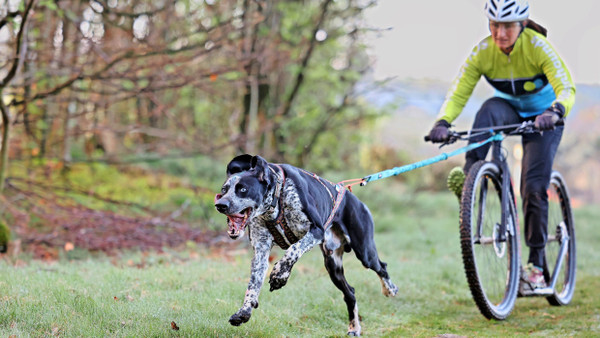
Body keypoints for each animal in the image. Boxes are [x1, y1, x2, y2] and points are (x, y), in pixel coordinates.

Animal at [213, 155, 396, 336]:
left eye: (243, 189)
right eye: (224, 189)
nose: (220, 205)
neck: (277, 199)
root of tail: (356, 200)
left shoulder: (316, 231)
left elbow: (293, 251)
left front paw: (279, 275)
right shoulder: (261, 251)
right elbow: (253, 284)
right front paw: (244, 310)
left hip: (364, 252)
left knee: (382, 267)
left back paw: (390, 289)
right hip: (333, 266)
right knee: (350, 293)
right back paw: (354, 327)